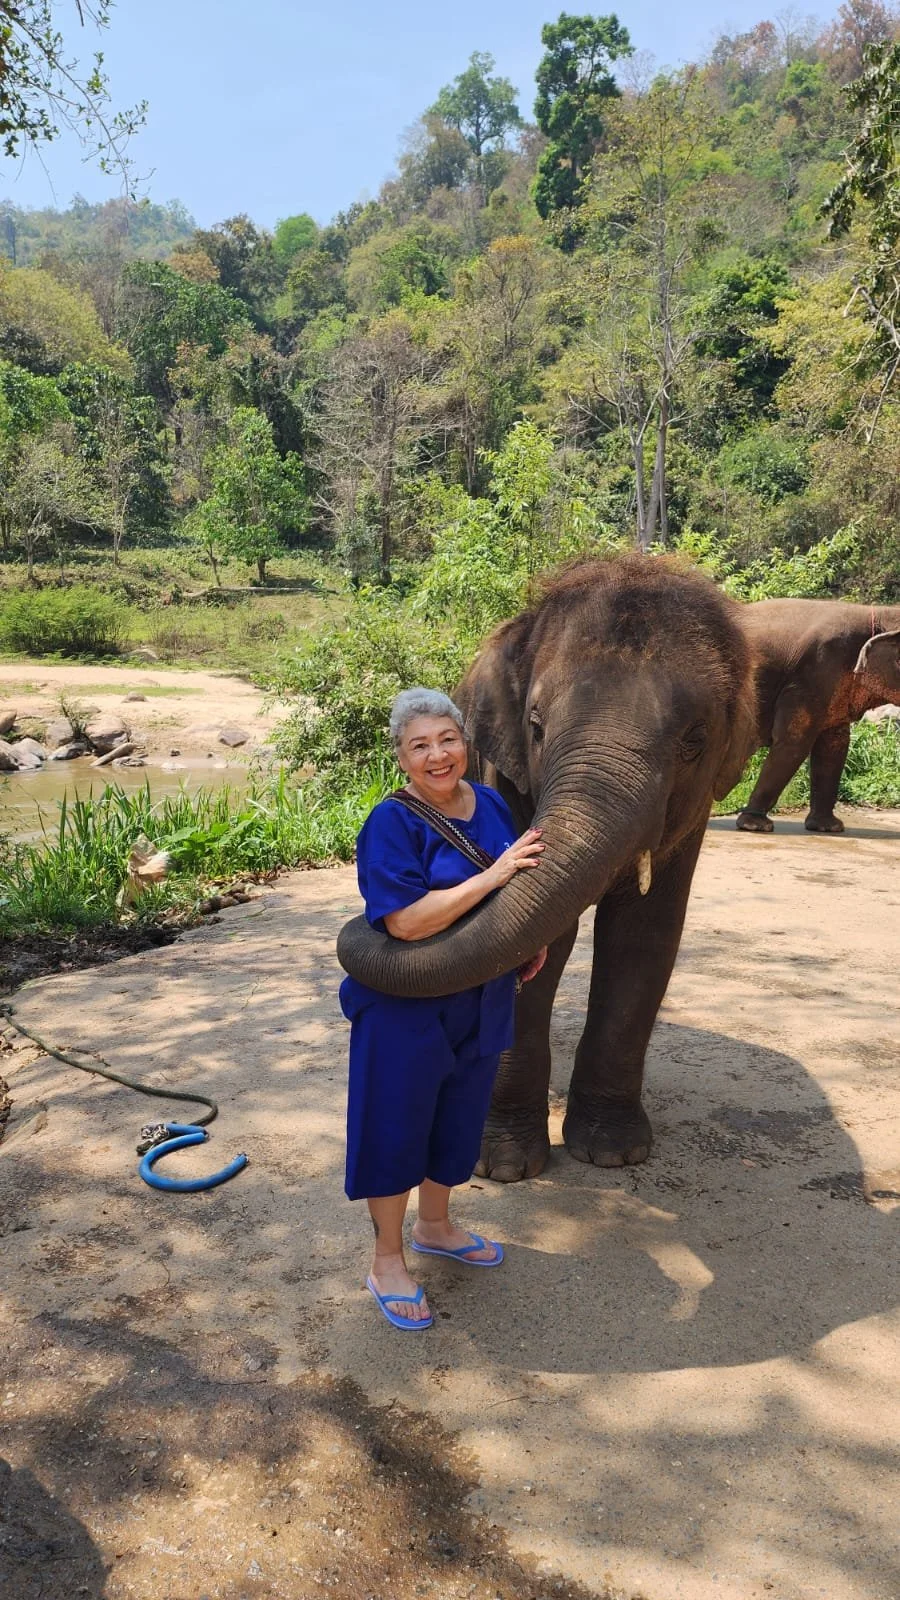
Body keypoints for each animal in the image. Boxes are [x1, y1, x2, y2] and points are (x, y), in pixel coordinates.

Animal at [337, 555, 756, 1180]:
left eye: (695, 739)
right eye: (536, 726)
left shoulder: (695, 811)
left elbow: (644, 936)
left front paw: (613, 1154)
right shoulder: (500, 770)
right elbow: (541, 945)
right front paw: (503, 1167)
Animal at [734, 599, 900, 834]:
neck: (880, 615)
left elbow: (834, 746)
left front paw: (828, 828)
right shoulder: (814, 674)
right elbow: (795, 741)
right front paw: (754, 825)